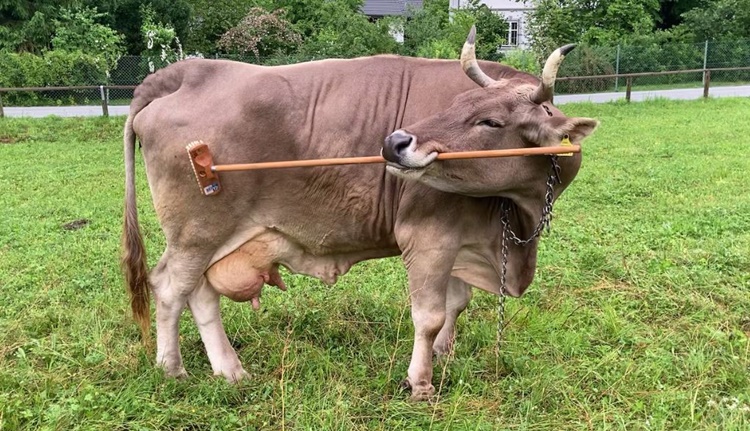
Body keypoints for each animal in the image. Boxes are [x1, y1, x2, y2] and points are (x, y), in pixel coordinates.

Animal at [122, 27, 598, 401]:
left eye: (491, 121)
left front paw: (444, 355)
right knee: (170, 288)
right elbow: (429, 316)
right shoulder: (428, 237)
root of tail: (182, 73)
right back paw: (172, 368)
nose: (394, 142)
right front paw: (420, 382)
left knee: (201, 292)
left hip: (213, 239)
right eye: (455, 103)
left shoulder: (464, 239)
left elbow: (457, 304)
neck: (516, 217)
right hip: (196, 233)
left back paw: (229, 370)